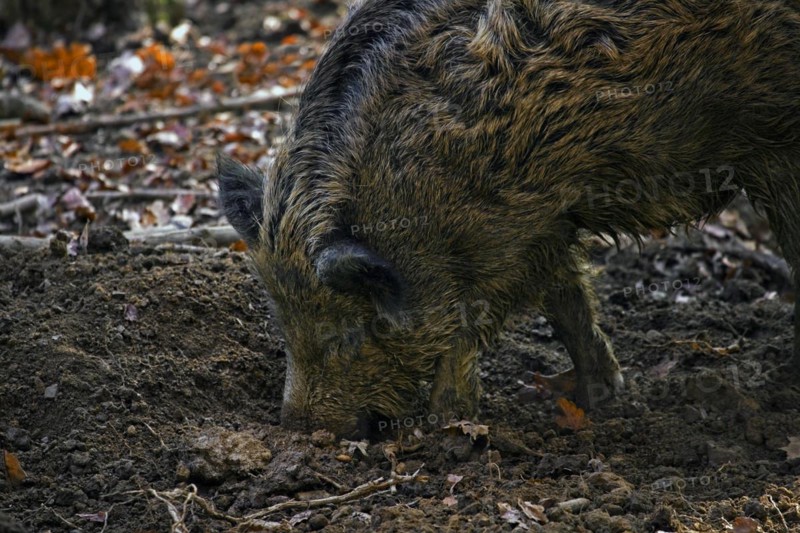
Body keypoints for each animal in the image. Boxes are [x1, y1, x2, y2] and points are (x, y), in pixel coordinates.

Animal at [218, 0, 800, 437]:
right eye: (283, 325)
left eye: (345, 333)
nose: (299, 429)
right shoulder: (543, 224)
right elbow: (566, 301)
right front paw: (602, 400)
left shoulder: (504, 236)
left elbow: (472, 327)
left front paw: (449, 426)